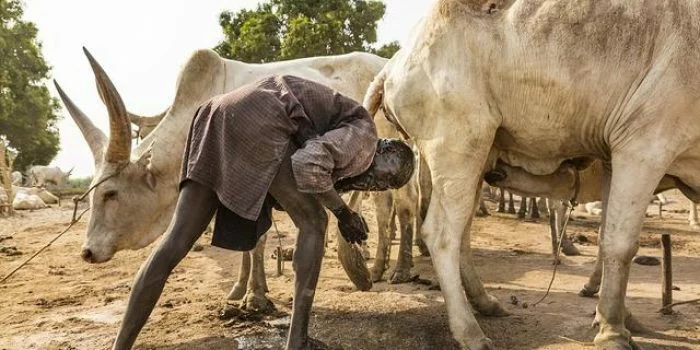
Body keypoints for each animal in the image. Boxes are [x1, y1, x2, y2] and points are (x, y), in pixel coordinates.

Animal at [364, 1, 700, 348]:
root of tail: (394, 65)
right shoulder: (644, 145)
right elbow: (620, 244)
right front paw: (612, 331)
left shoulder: (612, 159)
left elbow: (607, 235)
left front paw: (617, 316)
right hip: (457, 143)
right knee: (442, 234)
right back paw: (470, 331)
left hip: (476, 157)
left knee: (462, 233)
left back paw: (485, 303)